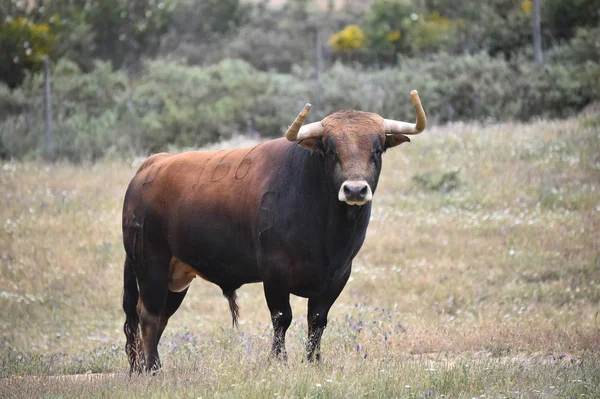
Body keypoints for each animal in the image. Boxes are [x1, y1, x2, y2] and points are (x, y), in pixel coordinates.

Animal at [123, 90, 426, 376]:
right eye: (331, 151)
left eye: (377, 150)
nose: (354, 190)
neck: (327, 232)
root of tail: (151, 165)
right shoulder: (275, 272)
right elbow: (282, 318)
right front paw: (279, 361)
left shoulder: (338, 275)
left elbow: (317, 320)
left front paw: (313, 361)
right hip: (151, 265)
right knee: (148, 315)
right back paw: (152, 369)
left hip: (177, 276)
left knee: (159, 317)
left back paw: (145, 368)